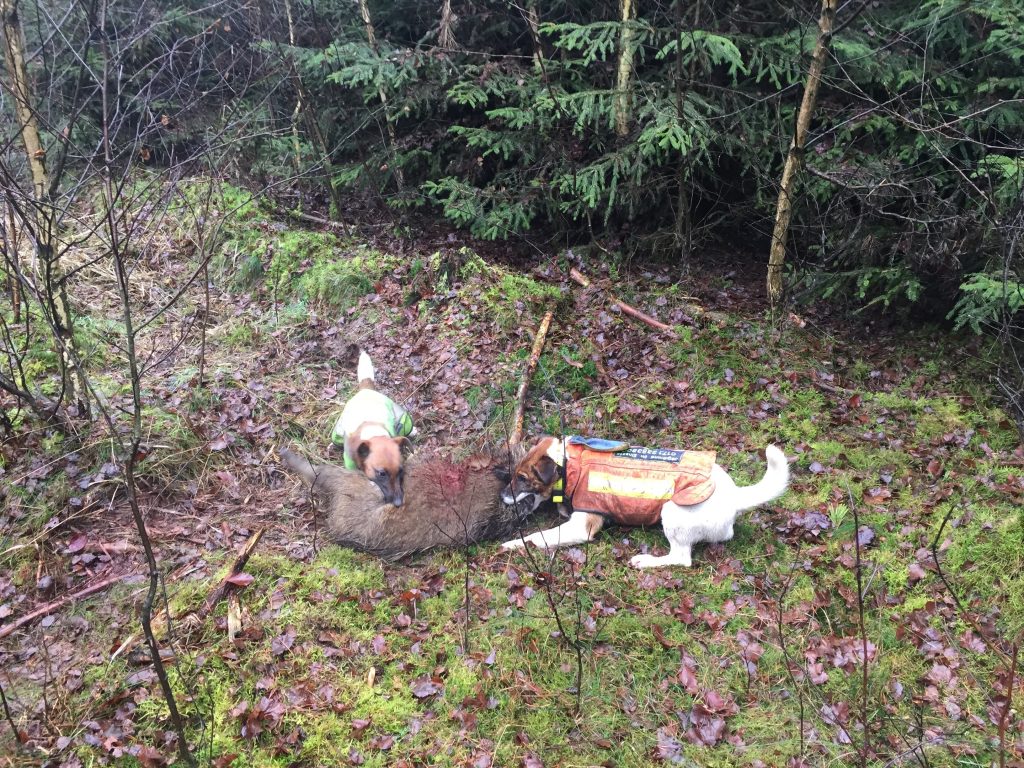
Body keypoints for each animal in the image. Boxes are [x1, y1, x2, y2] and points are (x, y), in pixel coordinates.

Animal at [500, 436, 789, 568]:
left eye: (522, 478)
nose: (502, 496)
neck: (571, 464)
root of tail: (735, 496)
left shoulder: (581, 526)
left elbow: (537, 536)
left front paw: (513, 544)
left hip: (672, 510)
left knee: (681, 558)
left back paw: (647, 561)